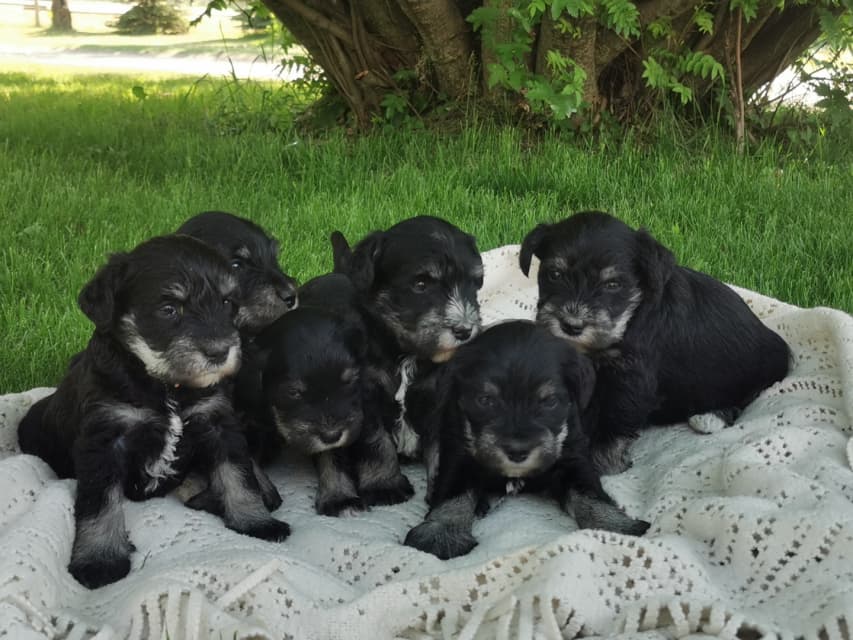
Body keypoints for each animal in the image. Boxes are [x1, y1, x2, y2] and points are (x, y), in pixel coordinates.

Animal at [17, 235, 291, 589]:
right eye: (168, 309)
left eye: (228, 303)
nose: (220, 352)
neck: (165, 384)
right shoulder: (102, 442)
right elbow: (99, 505)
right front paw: (99, 561)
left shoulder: (219, 425)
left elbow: (238, 476)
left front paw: (255, 522)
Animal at [331, 216, 484, 458]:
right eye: (420, 285)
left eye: (475, 283)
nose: (465, 331)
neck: (407, 356)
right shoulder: (369, 403)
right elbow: (380, 451)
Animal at [403, 321, 650, 559]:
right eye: (485, 400)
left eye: (550, 401)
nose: (517, 452)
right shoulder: (458, 456)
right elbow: (453, 494)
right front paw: (441, 532)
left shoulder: (574, 459)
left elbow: (589, 494)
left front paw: (615, 526)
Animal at [520, 211, 791, 472]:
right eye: (555, 274)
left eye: (613, 284)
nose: (571, 325)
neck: (631, 315)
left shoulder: (631, 380)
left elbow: (614, 422)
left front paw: (604, 461)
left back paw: (711, 416)